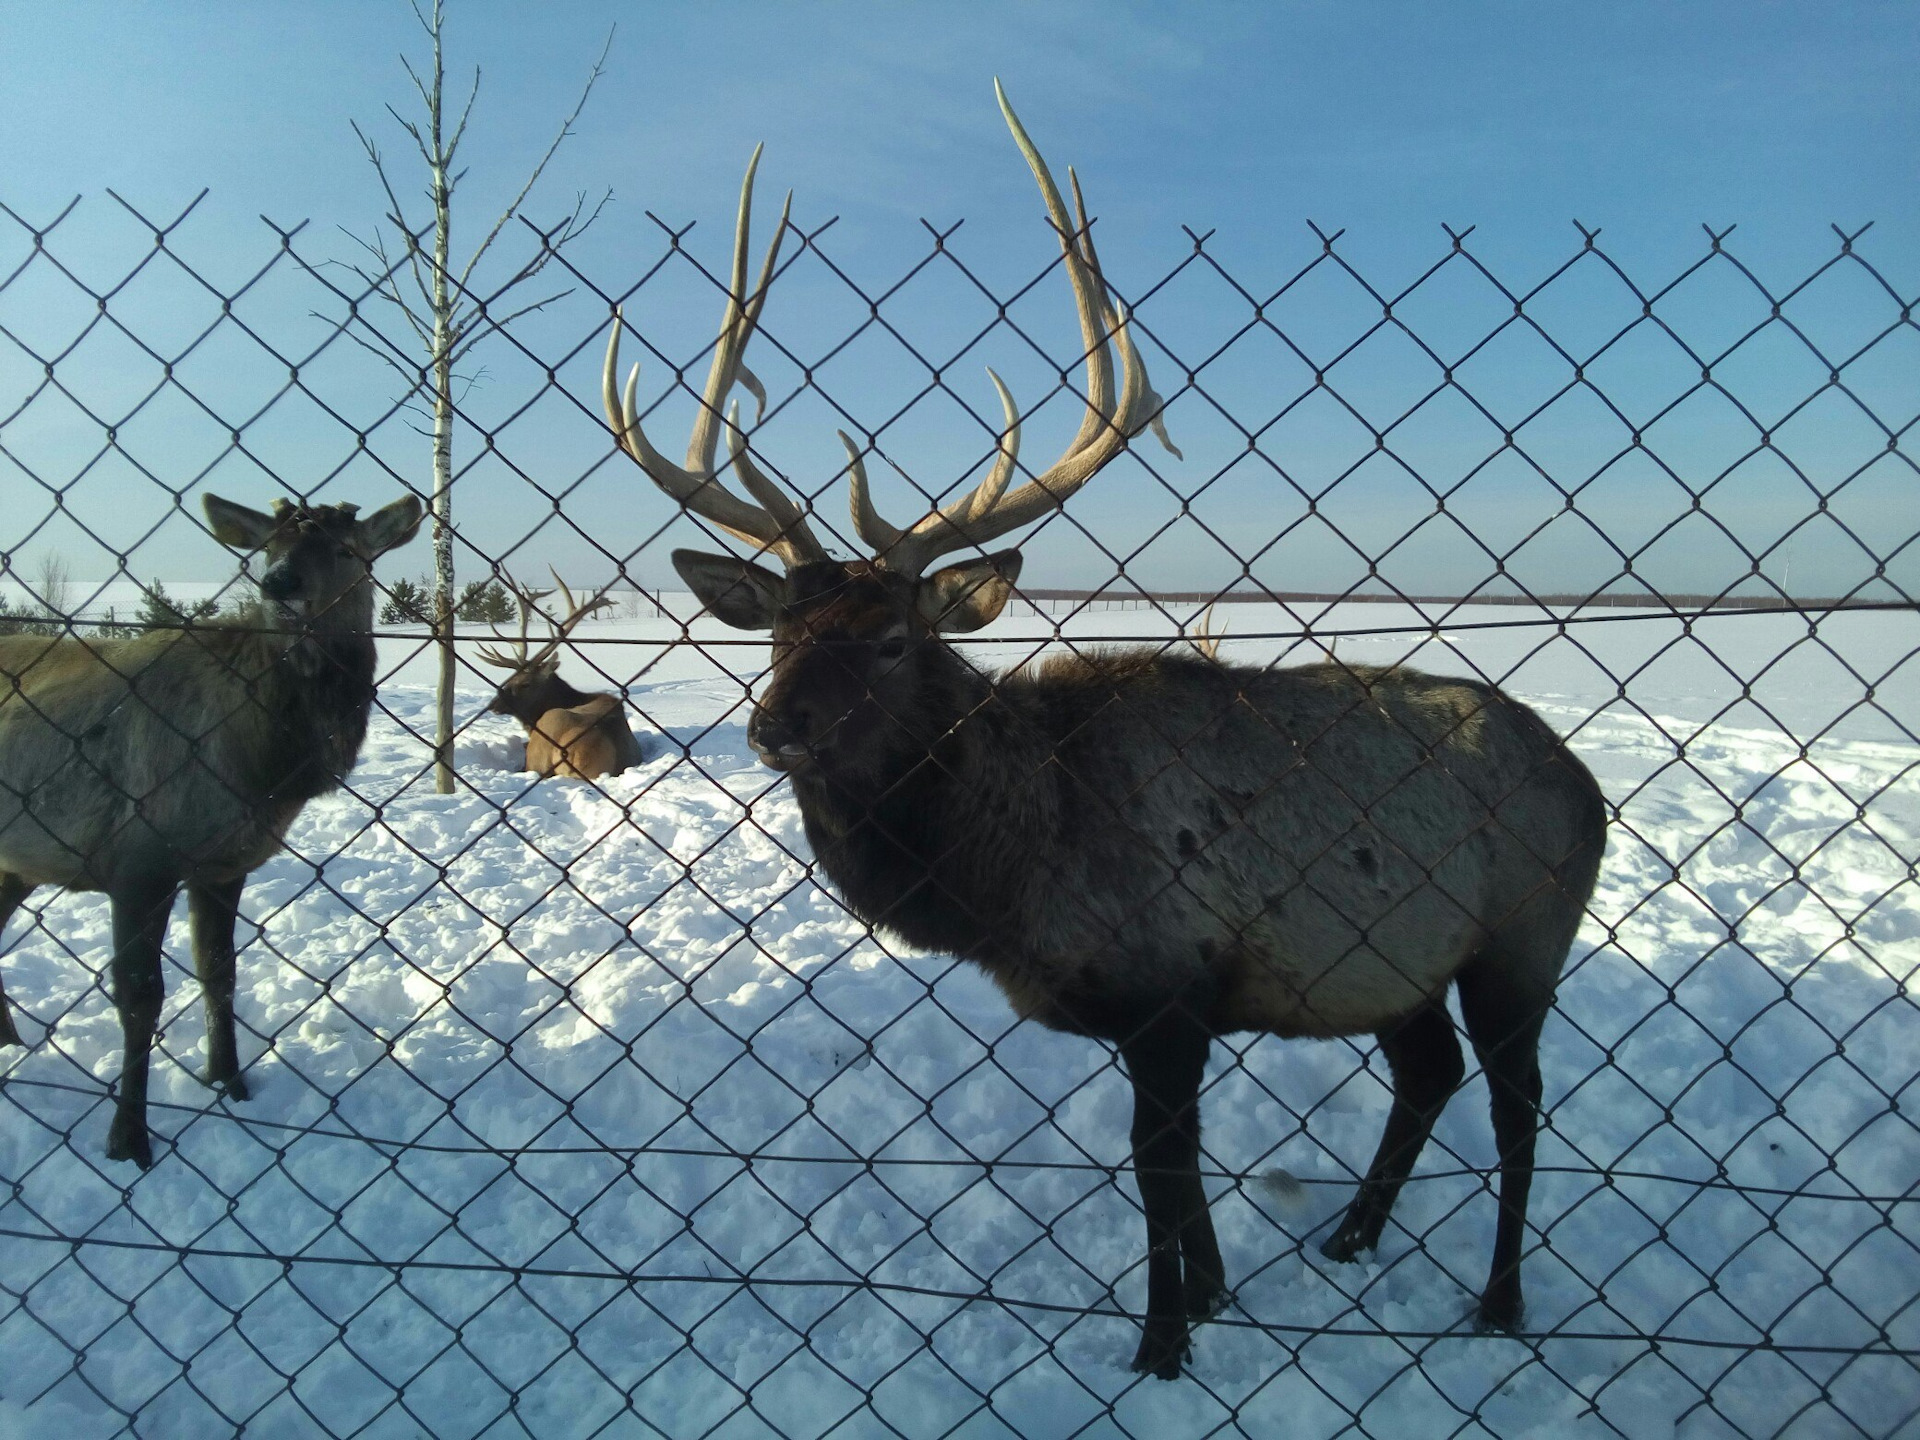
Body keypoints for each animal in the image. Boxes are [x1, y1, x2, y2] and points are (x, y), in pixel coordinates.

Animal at [0, 495, 422, 1175]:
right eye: (268, 546)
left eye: (346, 549)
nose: (279, 583)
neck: (264, 765)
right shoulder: (138, 862)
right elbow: (140, 996)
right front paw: (129, 1139)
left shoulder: (224, 864)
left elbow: (218, 971)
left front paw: (228, 1080)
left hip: (16, 861)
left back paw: (11, 1044)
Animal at [599, 84, 1605, 1382]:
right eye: (777, 630)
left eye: (892, 639)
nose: (773, 725)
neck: (1010, 872)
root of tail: (1590, 788)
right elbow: (1178, 1180)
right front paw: (1218, 1296)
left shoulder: (1169, 988)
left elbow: (1156, 1174)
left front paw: (1163, 1343)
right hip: (1398, 959)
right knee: (1429, 1070)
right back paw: (1350, 1234)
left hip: (1523, 934)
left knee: (1519, 1102)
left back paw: (1500, 1299)